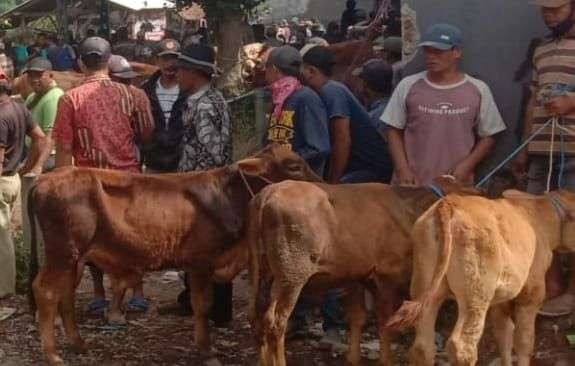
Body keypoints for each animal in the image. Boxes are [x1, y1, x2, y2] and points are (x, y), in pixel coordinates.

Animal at [29, 144, 324, 364]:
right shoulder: (200, 261)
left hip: (73, 258)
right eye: (293, 165)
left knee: (65, 295)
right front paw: (206, 350)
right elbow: (202, 305)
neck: (227, 196)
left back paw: (78, 344)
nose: (322, 185)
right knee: (45, 292)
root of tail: (46, 178)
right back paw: (52, 355)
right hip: (62, 254)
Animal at [246, 179, 476, 366]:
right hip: (291, 276)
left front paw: (353, 358)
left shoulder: (355, 275)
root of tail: (267, 193)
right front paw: (387, 360)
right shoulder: (386, 274)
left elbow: (357, 317)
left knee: (256, 318)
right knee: (275, 322)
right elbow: (384, 320)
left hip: (262, 272)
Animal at [388, 192, 575, 366]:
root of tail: (450, 202)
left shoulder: (500, 299)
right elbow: (523, 342)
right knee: (462, 346)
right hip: (475, 294)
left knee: (422, 348)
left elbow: (504, 335)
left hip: (425, 286)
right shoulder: (531, 294)